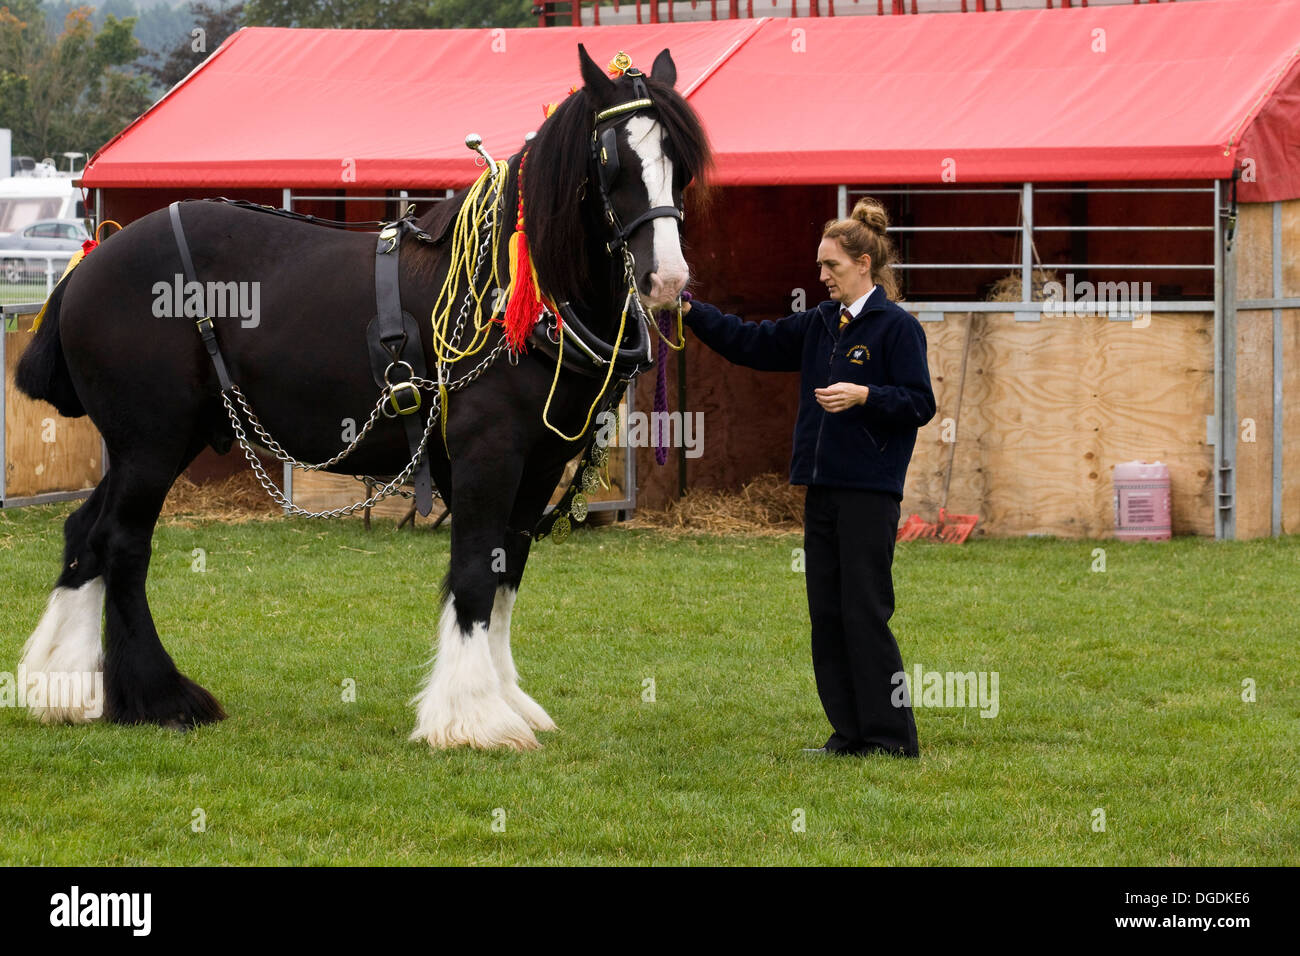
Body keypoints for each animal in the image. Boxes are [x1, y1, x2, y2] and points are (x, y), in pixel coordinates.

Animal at [13, 45, 711, 751]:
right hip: (151, 443)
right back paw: (160, 697)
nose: (667, 279)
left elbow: (504, 571)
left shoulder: (539, 463)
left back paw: (66, 687)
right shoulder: (488, 454)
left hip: (151, 443)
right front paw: (472, 717)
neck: (510, 288)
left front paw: (507, 701)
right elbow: (474, 573)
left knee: (86, 533)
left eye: (679, 163)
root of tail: (89, 262)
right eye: (612, 160)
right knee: (123, 543)